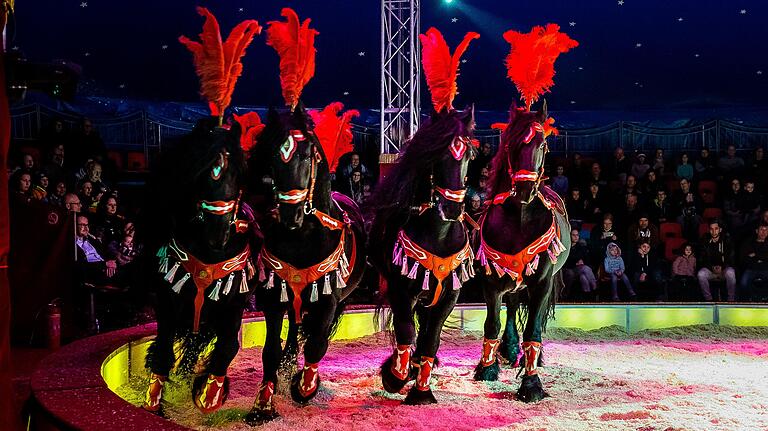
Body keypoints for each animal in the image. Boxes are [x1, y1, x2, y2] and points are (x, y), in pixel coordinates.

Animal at [142, 117, 262, 416]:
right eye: (205, 171)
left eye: (239, 173)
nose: (219, 233)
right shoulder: (168, 299)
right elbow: (163, 349)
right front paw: (153, 401)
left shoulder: (232, 302)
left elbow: (228, 345)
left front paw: (210, 394)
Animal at [246, 105, 366, 426]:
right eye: (272, 154)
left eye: (306, 154)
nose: (291, 215)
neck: (303, 236)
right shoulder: (273, 296)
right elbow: (270, 350)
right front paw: (263, 405)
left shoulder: (328, 299)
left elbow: (316, 344)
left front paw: (304, 387)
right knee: (294, 330)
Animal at [368, 107, 476, 404]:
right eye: (437, 154)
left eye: (470, 155)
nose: (452, 208)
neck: (439, 235)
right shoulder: (401, 290)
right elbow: (406, 329)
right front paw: (394, 376)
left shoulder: (448, 296)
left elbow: (431, 339)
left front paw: (421, 390)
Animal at [472, 104, 572, 404]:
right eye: (512, 144)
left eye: (544, 145)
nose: (526, 188)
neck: (520, 217)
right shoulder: (491, 281)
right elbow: (492, 323)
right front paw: (487, 368)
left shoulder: (541, 282)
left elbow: (534, 329)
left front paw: (531, 383)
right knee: (514, 304)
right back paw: (509, 349)